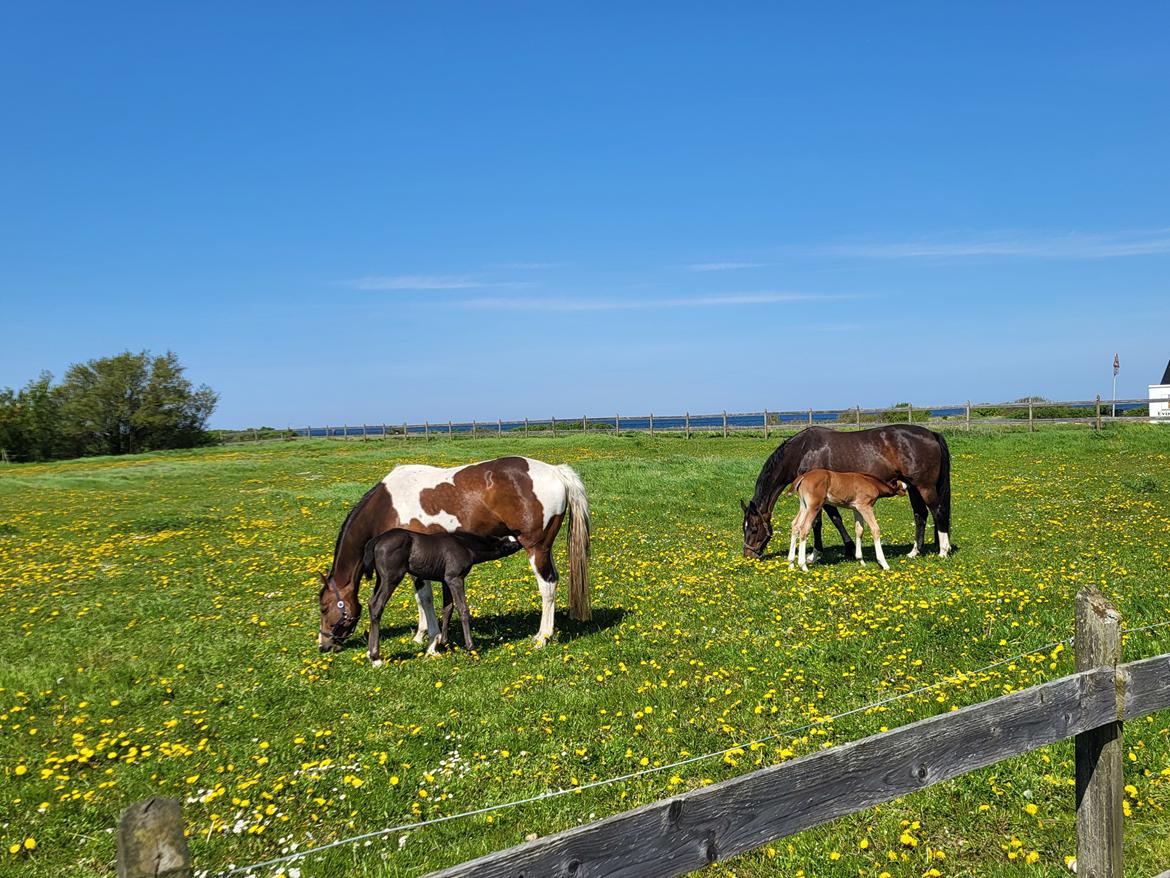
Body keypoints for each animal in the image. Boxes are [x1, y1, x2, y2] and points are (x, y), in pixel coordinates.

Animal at [355, 529, 521, 664]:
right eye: (512, 544)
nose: (523, 541)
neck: (465, 546)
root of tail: (376, 540)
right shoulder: (455, 578)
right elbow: (463, 609)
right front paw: (472, 649)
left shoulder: (445, 580)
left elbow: (448, 609)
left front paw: (445, 643)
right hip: (391, 578)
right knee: (377, 604)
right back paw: (376, 658)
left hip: (380, 579)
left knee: (371, 603)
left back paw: (370, 653)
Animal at [739, 428, 950, 564]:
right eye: (744, 527)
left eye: (755, 528)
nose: (748, 555)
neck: (802, 451)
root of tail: (931, 434)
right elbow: (836, 519)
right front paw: (849, 549)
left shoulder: (820, 498)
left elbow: (819, 523)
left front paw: (814, 554)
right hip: (913, 487)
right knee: (920, 515)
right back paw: (914, 552)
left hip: (925, 487)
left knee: (938, 512)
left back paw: (943, 551)